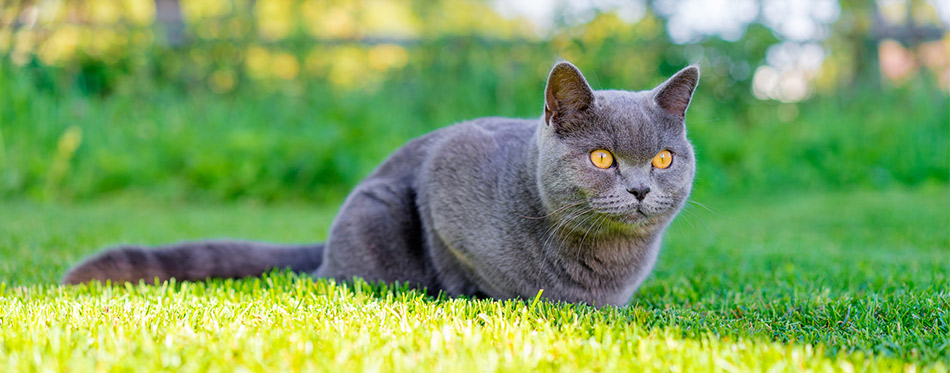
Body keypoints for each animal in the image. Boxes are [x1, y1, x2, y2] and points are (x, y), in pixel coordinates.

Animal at [61, 61, 700, 306]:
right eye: (602, 157)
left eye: (663, 159)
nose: (641, 189)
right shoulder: (446, 171)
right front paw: (470, 293)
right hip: (376, 209)